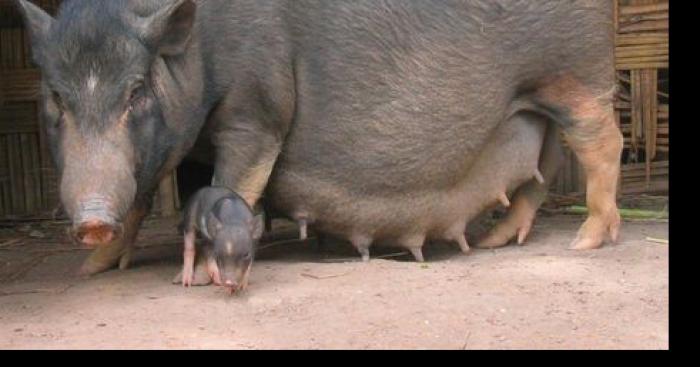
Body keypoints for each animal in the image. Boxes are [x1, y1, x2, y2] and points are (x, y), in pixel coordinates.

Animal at [16, 0, 620, 276]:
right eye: (55, 97)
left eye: (137, 89)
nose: (91, 220)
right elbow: (144, 193)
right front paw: (91, 269)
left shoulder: (256, 106)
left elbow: (236, 178)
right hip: (532, 102)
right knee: (541, 167)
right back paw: (497, 242)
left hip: (575, 73)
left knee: (601, 139)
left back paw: (586, 242)